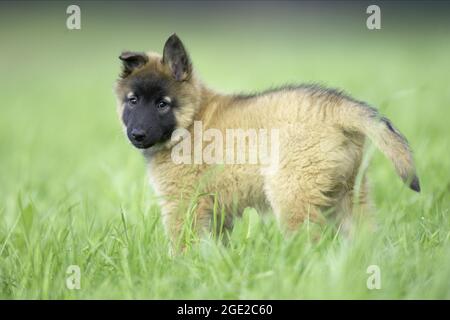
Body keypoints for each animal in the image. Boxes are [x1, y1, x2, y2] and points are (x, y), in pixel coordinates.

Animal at [114, 33, 420, 248]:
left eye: (162, 104)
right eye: (133, 100)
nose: (137, 134)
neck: (190, 121)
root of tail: (336, 107)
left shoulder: (183, 204)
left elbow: (182, 245)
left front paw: (181, 270)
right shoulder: (216, 212)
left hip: (292, 194)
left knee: (310, 243)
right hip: (349, 195)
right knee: (364, 237)